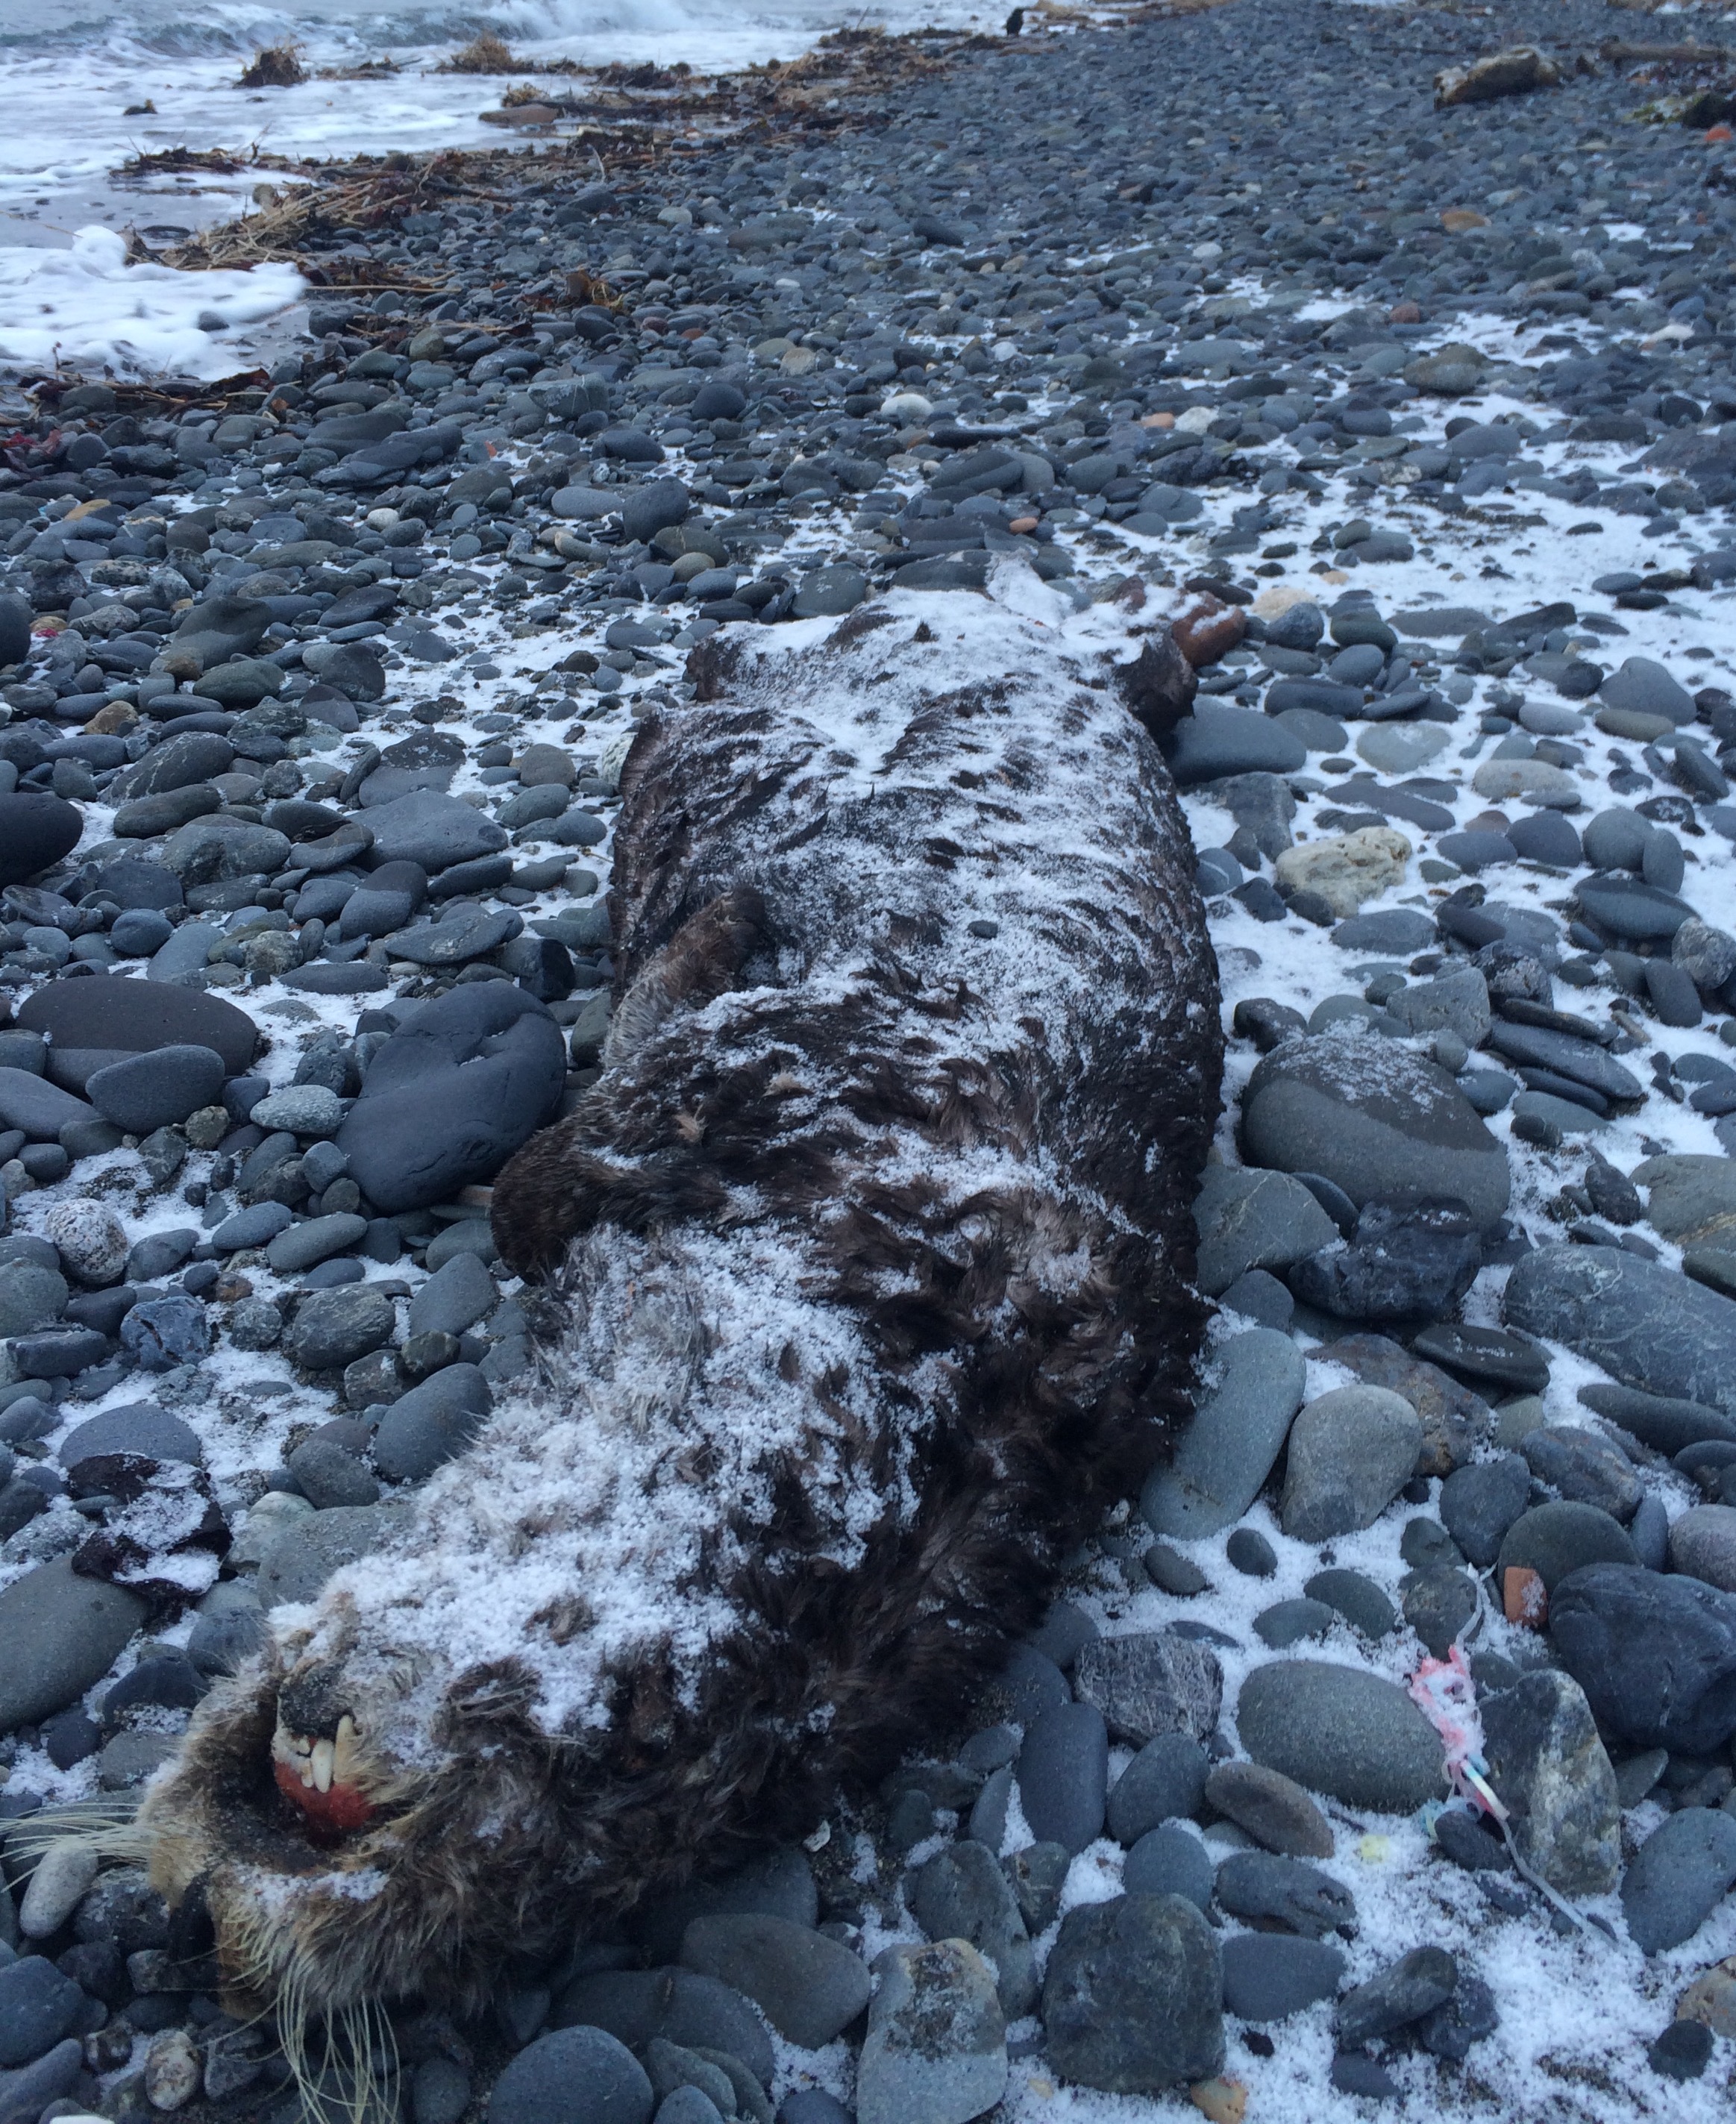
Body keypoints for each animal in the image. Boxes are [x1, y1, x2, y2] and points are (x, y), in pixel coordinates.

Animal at [138, 594, 1222, 2035]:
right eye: (632, 1734)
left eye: (615, 1775)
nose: (246, 1914)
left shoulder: (709, 1097)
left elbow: (545, 1166)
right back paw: (1181, 642)